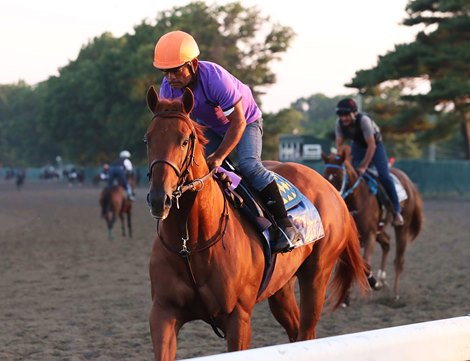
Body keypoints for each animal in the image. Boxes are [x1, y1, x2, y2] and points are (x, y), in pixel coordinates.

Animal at [145, 86, 370, 358]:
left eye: (185, 140)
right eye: (148, 139)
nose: (160, 198)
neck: (191, 243)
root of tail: (332, 189)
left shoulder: (238, 317)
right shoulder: (163, 313)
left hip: (317, 274)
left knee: (307, 330)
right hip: (281, 287)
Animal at [322, 145, 424, 300]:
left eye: (339, 177)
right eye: (324, 176)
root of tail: (408, 182)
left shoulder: (369, 234)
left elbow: (365, 262)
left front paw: (373, 281)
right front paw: (346, 299)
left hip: (402, 227)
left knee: (399, 259)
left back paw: (395, 293)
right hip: (379, 230)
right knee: (387, 243)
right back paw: (382, 280)